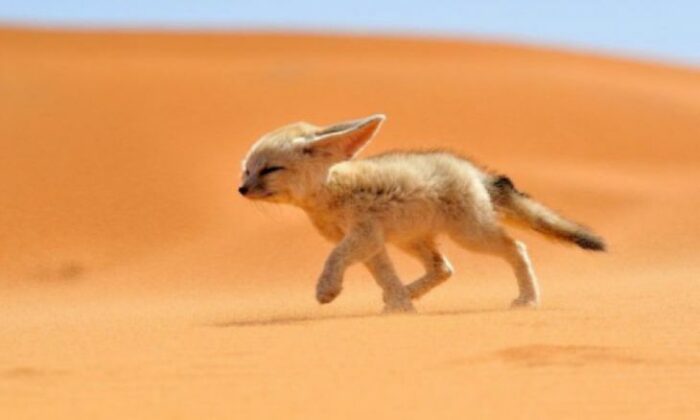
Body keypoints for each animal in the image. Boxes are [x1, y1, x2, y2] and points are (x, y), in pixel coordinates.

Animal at [238, 114, 605, 313]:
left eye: (270, 169)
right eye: (247, 170)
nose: (241, 190)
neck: (331, 192)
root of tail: (474, 171)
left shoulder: (363, 235)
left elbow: (334, 258)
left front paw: (327, 289)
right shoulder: (372, 244)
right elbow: (385, 276)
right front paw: (401, 306)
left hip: (471, 236)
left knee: (516, 247)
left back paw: (528, 299)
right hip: (411, 240)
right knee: (444, 268)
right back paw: (405, 294)